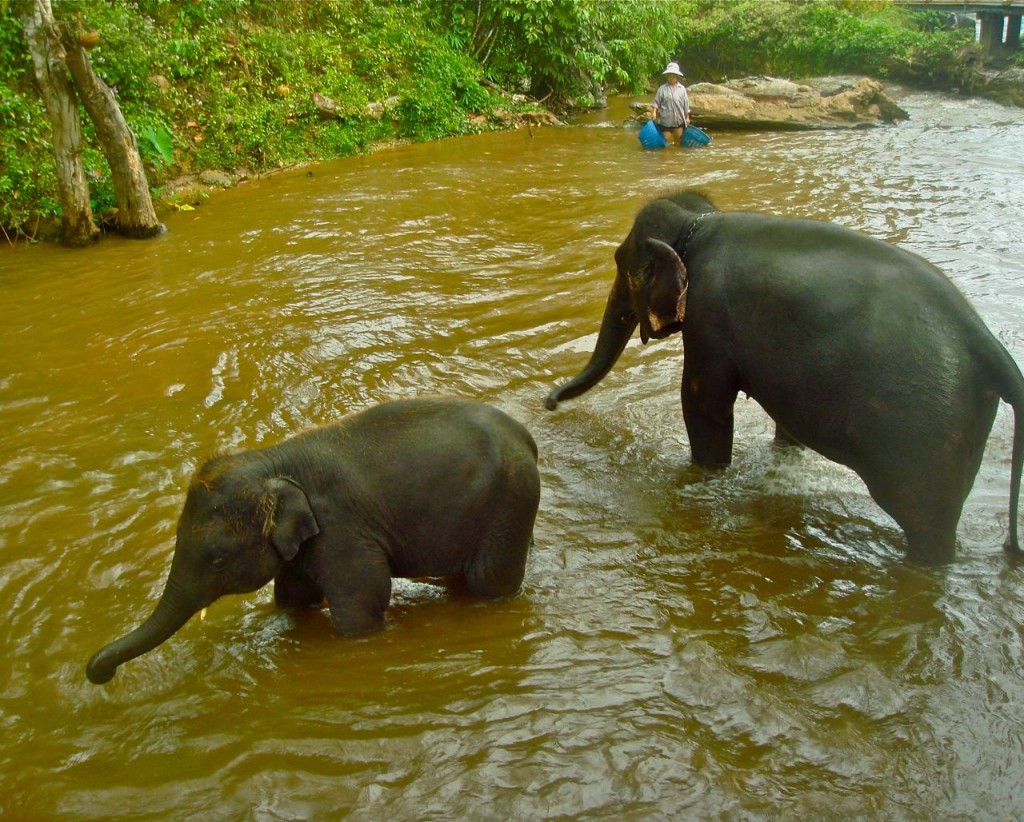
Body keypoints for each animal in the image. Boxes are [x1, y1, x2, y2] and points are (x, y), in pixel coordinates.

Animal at [86, 401, 544, 683]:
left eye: (216, 560)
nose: (102, 674)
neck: (275, 461)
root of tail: (526, 436)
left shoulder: (342, 532)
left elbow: (361, 604)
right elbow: (292, 596)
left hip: (509, 505)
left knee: (489, 582)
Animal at [544, 191, 1024, 565]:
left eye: (620, 264)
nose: (548, 402)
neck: (701, 223)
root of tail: (993, 349)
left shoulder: (708, 317)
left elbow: (703, 404)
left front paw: (705, 475)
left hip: (924, 431)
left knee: (922, 518)